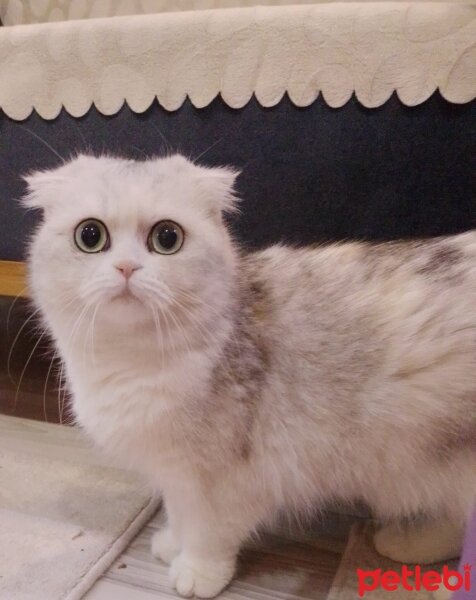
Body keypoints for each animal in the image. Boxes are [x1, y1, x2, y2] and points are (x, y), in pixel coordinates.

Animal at [25, 152, 476, 596]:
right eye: (90, 236)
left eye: (167, 238)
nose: (125, 267)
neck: (129, 360)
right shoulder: (175, 472)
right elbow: (178, 511)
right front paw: (172, 543)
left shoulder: (226, 478)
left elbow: (206, 531)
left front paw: (196, 571)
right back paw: (407, 545)